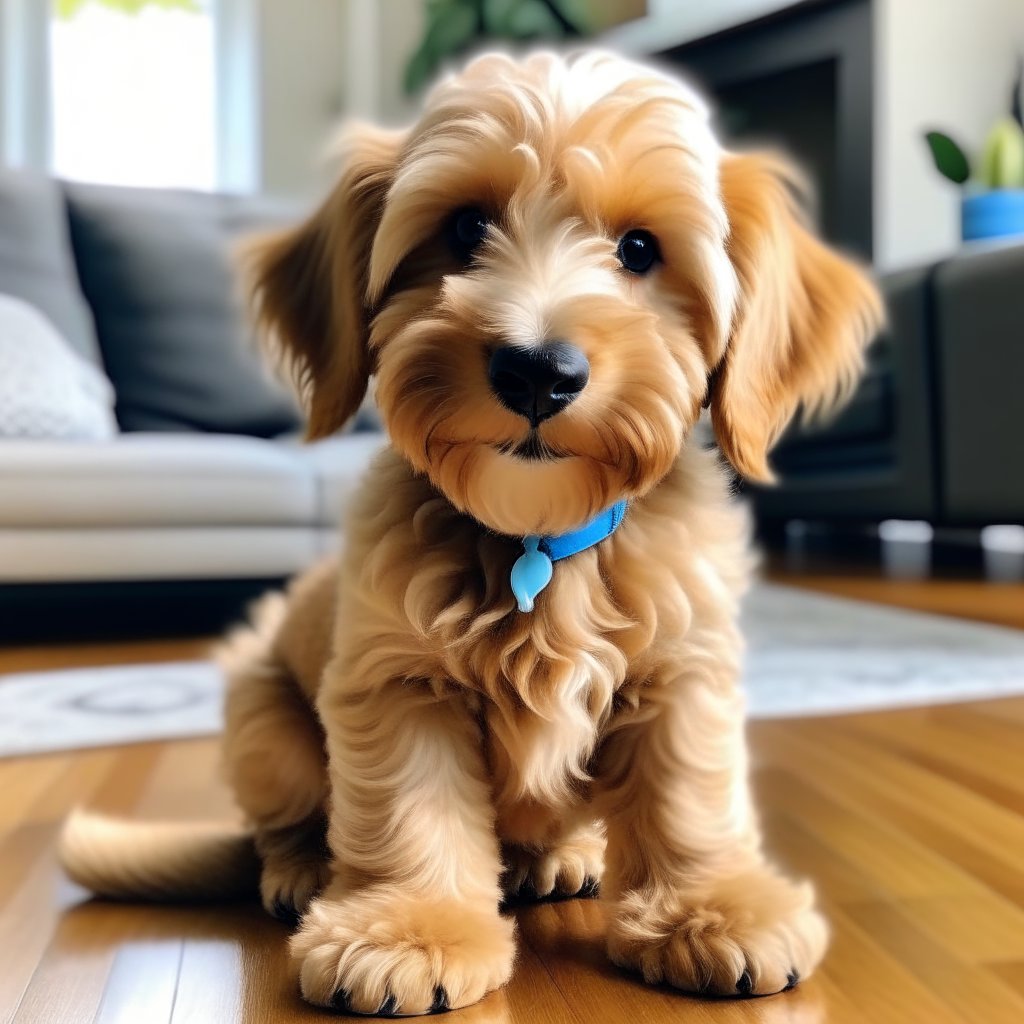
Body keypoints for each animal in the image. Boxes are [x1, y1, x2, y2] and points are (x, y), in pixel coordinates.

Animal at [59, 49, 884, 1015]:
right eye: (463, 228)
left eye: (641, 250)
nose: (537, 370)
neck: (538, 539)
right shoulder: (397, 683)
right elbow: (412, 810)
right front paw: (407, 931)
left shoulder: (684, 672)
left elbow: (688, 794)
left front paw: (711, 908)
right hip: (262, 716)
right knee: (284, 823)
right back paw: (302, 870)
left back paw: (561, 855)